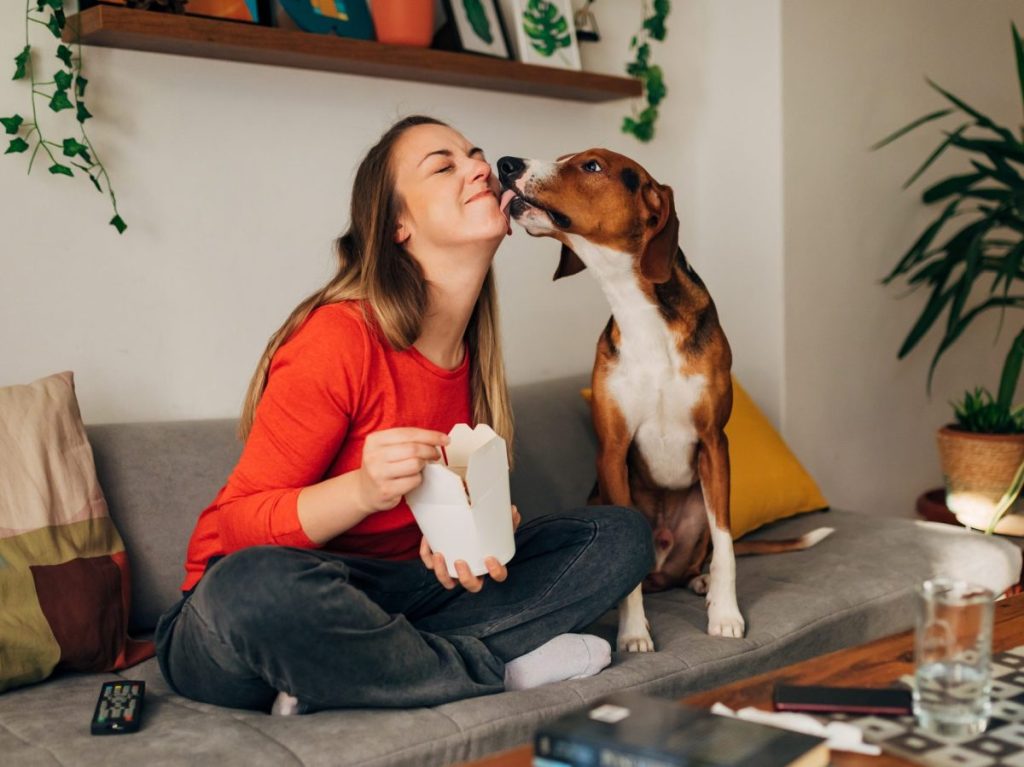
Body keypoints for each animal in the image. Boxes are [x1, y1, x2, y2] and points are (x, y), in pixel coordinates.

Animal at [495, 146, 831, 651]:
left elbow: (727, 548)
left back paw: (701, 582)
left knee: (704, 555)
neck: (637, 309)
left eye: (591, 165)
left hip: (705, 498)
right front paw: (634, 632)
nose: (505, 164)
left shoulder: (714, 443)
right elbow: (627, 576)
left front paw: (725, 615)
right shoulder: (612, 451)